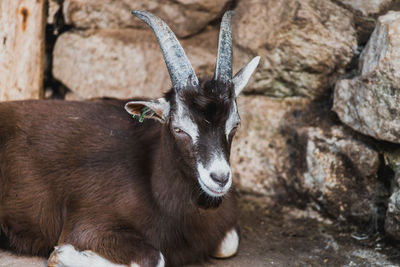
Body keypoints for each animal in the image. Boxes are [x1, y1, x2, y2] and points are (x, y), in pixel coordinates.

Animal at [0, 10, 260, 267]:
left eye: (235, 124)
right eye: (178, 128)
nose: (220, 178)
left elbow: (228, 245)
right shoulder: (89, 223)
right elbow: (155, 258)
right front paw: (62, 255)